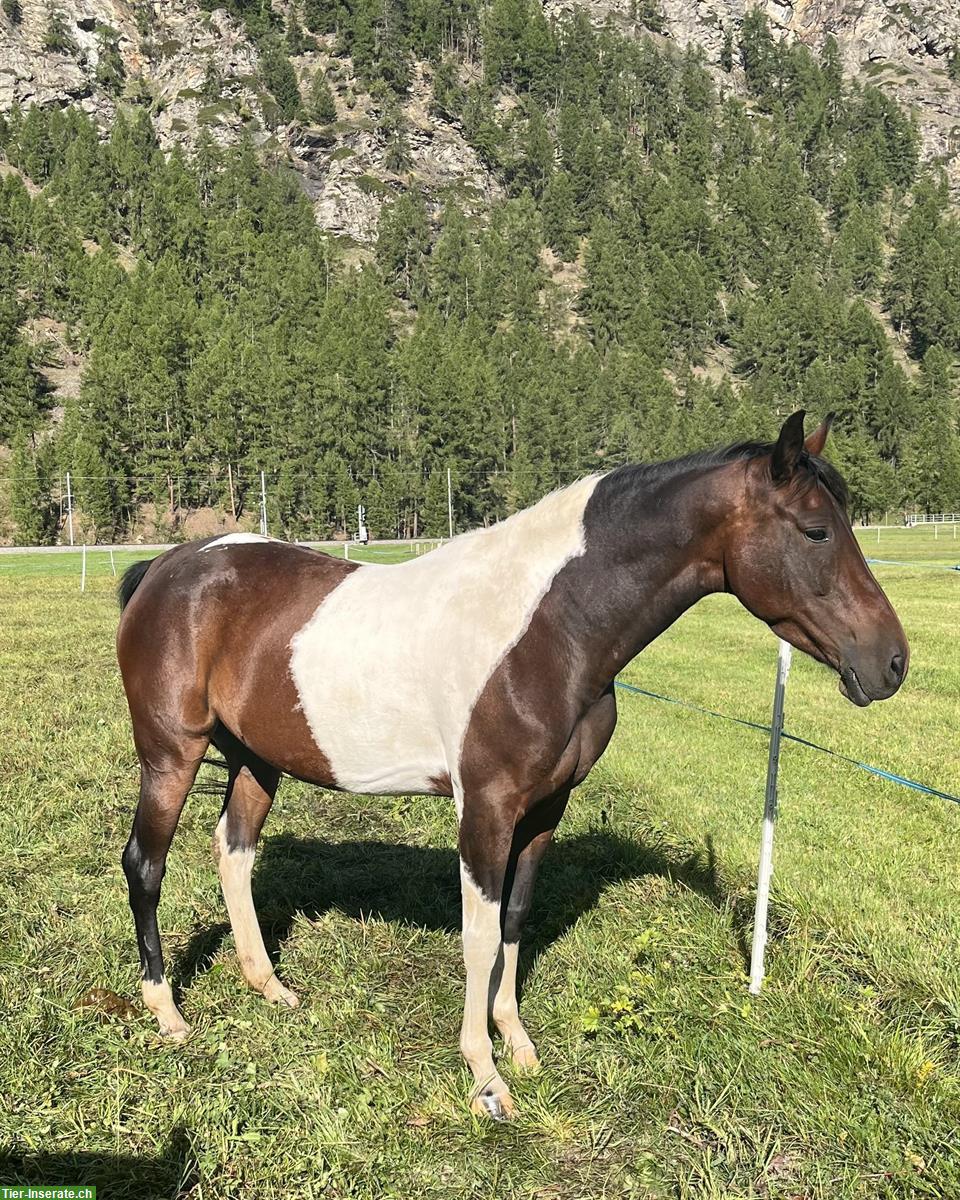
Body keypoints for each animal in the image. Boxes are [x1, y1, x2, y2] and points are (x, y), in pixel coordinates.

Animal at [116, 411, 908, 1119]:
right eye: (816, 530)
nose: (892, 662)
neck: (548, 630)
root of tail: (167, 567)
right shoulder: (487, 806)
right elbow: (479, 933)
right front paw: (484, 1075)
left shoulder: (546, 806)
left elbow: (516, 921)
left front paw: (517, 1042)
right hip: (171, 754)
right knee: (145, 864)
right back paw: (167, 1012)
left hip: (256, 759)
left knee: (234, 852)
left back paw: (269, 986)